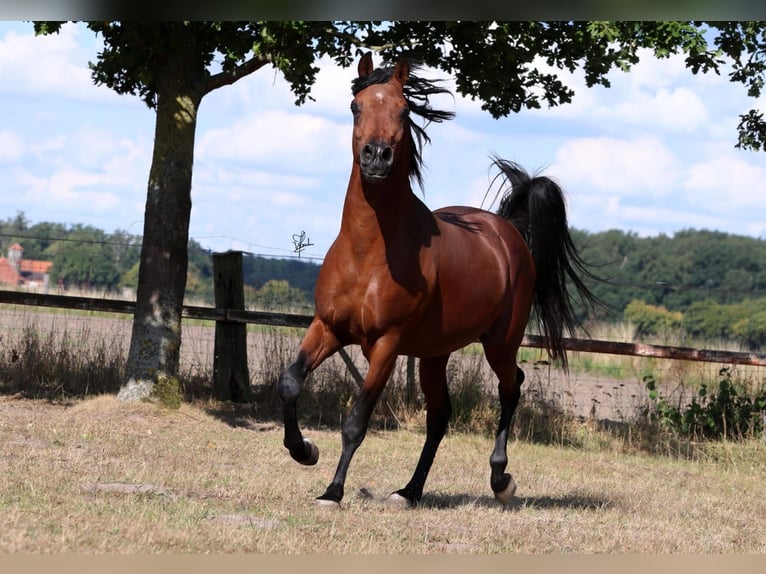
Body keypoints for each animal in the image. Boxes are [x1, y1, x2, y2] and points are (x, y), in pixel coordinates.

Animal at [278, 52, 598, 509]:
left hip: (500, 343)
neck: (368, 250)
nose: (377, 157)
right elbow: (290, 382)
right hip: (434, 353)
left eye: (403, 110)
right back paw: (409, 492)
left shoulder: (386, 346)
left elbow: (356, 421)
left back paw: (501, 480)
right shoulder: (328, 327)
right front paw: (304, 450)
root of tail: (508, 233)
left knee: (511, 387)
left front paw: (332, 492)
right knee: (440, 415)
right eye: (356, 107)